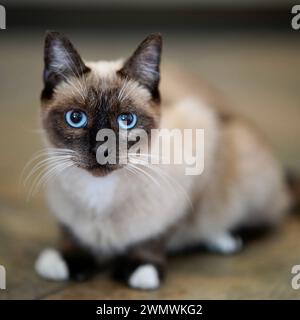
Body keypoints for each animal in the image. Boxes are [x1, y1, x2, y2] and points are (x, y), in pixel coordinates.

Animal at [34, 31, 292, 290]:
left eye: (127, 120)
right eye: (76, 118)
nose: (101, 150)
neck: (99, 193)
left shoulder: (195, 169)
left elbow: (160, 231)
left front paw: (141, 268)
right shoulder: (63, 207)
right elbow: (70, 231)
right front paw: (67, 261)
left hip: (243, 161)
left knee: (265, 216)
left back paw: (225, 238)